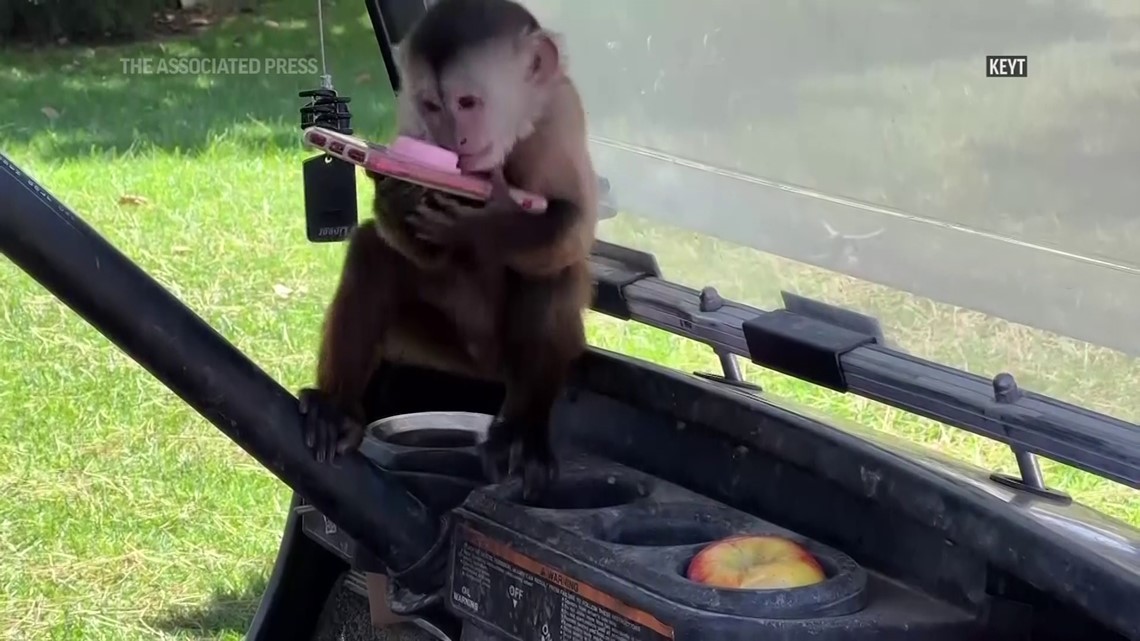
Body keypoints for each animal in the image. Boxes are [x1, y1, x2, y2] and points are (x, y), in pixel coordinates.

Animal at [297, 0, 598, 501]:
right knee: (372, 252)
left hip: (508, 359)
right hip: (436, 346)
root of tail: (486, 365)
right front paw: (396, 193)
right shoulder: (412, 122)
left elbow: (575, 227)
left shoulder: (561, 113)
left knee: (551, 276)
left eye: (468, 104)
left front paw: (489, 222)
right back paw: (337, 410)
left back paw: (523, 433)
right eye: (433, 106)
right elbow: (416, 244)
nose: (454, 139)